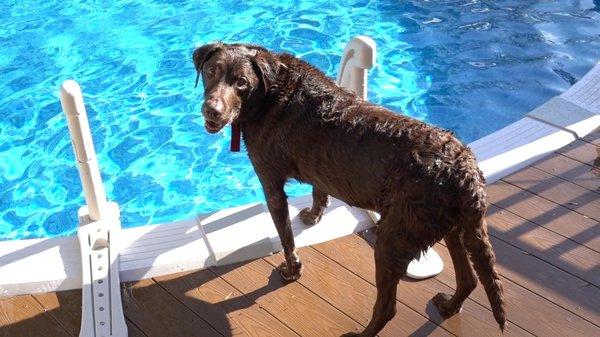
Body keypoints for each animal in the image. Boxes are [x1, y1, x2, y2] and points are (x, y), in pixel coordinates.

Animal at [192, 43, 506, 334]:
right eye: (211, 71)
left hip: (395, 239)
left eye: (241, 82)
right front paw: (313, 216)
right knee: (469, 279)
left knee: (388, 307)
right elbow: (319, 190)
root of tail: (466, 170)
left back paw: (363, 332)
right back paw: (450, 307)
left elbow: (286, 239)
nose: (211, 110)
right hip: (451, 226)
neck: (270, 93)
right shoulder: (316, 166)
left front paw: (292, 271)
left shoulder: (270, 182)